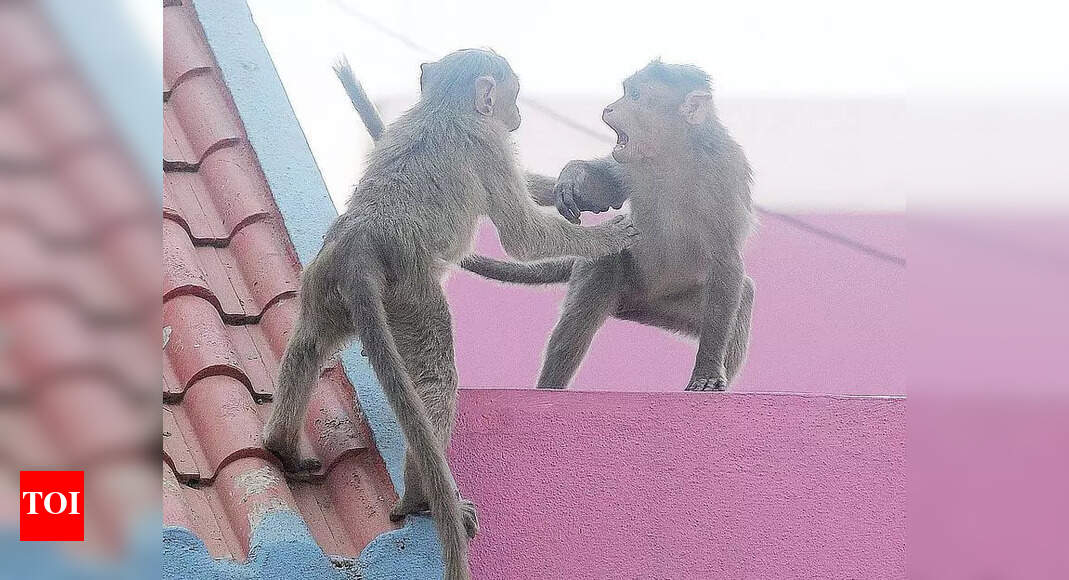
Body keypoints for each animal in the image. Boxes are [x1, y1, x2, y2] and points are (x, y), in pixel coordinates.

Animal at [262, 49, 637, 580]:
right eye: (512, 96)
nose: (515, 115)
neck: (443, 105)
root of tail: (361, 242)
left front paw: (578, 187)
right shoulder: (487, 143)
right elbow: (522, 236)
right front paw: (608, 234)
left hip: (324, 285)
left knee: (309, 347)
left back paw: (282, 446)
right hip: (412, 297)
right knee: (435, 380)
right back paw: (423, 498)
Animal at [460, 60, 756, 392]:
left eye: (635, 96)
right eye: (626, 92)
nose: (610, 107)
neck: (671, 157)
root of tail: (644, 303)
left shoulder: (724, 175)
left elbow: (725, 259)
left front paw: (707, 371)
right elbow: (608, 191)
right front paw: (574, 175)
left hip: (674, 304)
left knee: (742, 296)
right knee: (601, 269)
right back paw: (550, 387)